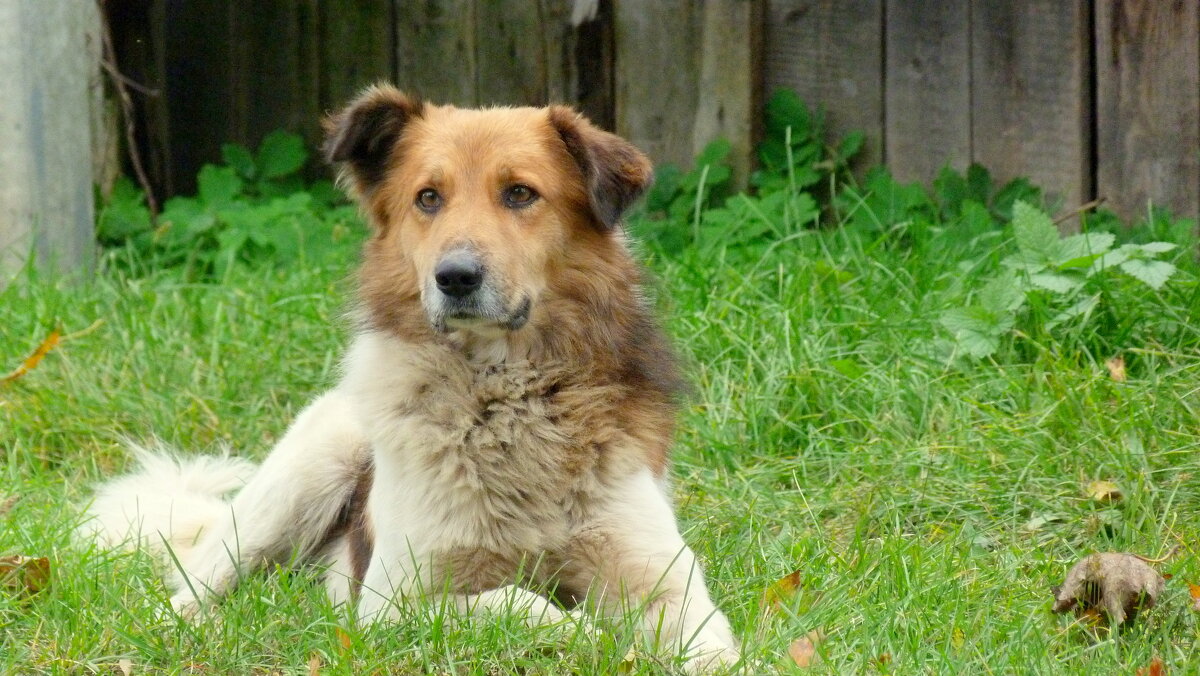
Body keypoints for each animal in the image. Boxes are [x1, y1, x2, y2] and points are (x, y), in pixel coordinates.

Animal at [82, 87, 739, 672]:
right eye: (428, 198)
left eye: (520, 193)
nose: (455, 277)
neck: (507, 400)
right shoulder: (393, 604)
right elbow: (516, 601)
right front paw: (586, 635)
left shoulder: (664, 580)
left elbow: (712, 648)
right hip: (300, 476)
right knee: (186, 592)